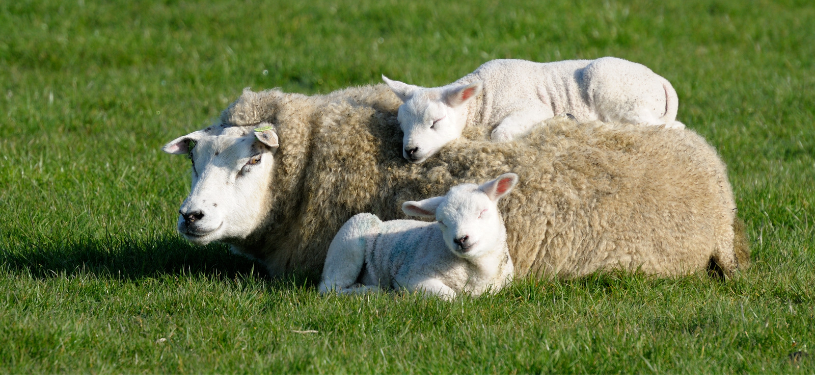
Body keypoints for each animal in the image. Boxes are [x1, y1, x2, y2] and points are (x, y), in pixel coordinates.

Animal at [318, 173, 516, 300]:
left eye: (482, 212)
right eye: (442, 221)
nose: (460, 239)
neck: (479, 271)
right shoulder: (409, 277)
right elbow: (451, 297)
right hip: (349, 241)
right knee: (329, 288)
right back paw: (371, 291)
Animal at [386, 57, 684, 163]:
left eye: (436, 121)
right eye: (401, 126)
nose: (410, 150)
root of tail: (660, 80)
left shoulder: (532, 108)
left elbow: (499, 135)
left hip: (617, 91)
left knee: (668, 127)